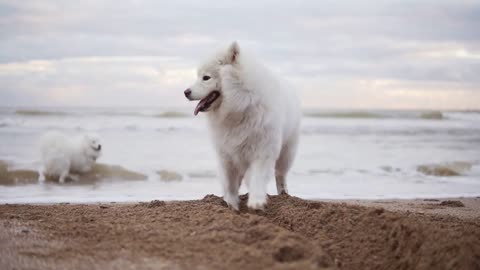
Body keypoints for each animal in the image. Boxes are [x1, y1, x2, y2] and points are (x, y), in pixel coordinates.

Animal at [184, 42, 300, 211]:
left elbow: (257, 177)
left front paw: (256, 201)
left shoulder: (262, 150)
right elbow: (230, 183)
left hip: (287, 152)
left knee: (280, 174)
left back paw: (284, 193)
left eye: (206, 77)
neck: (240, 106)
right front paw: (231, 204)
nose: (186, 92)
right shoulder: (227, 153)